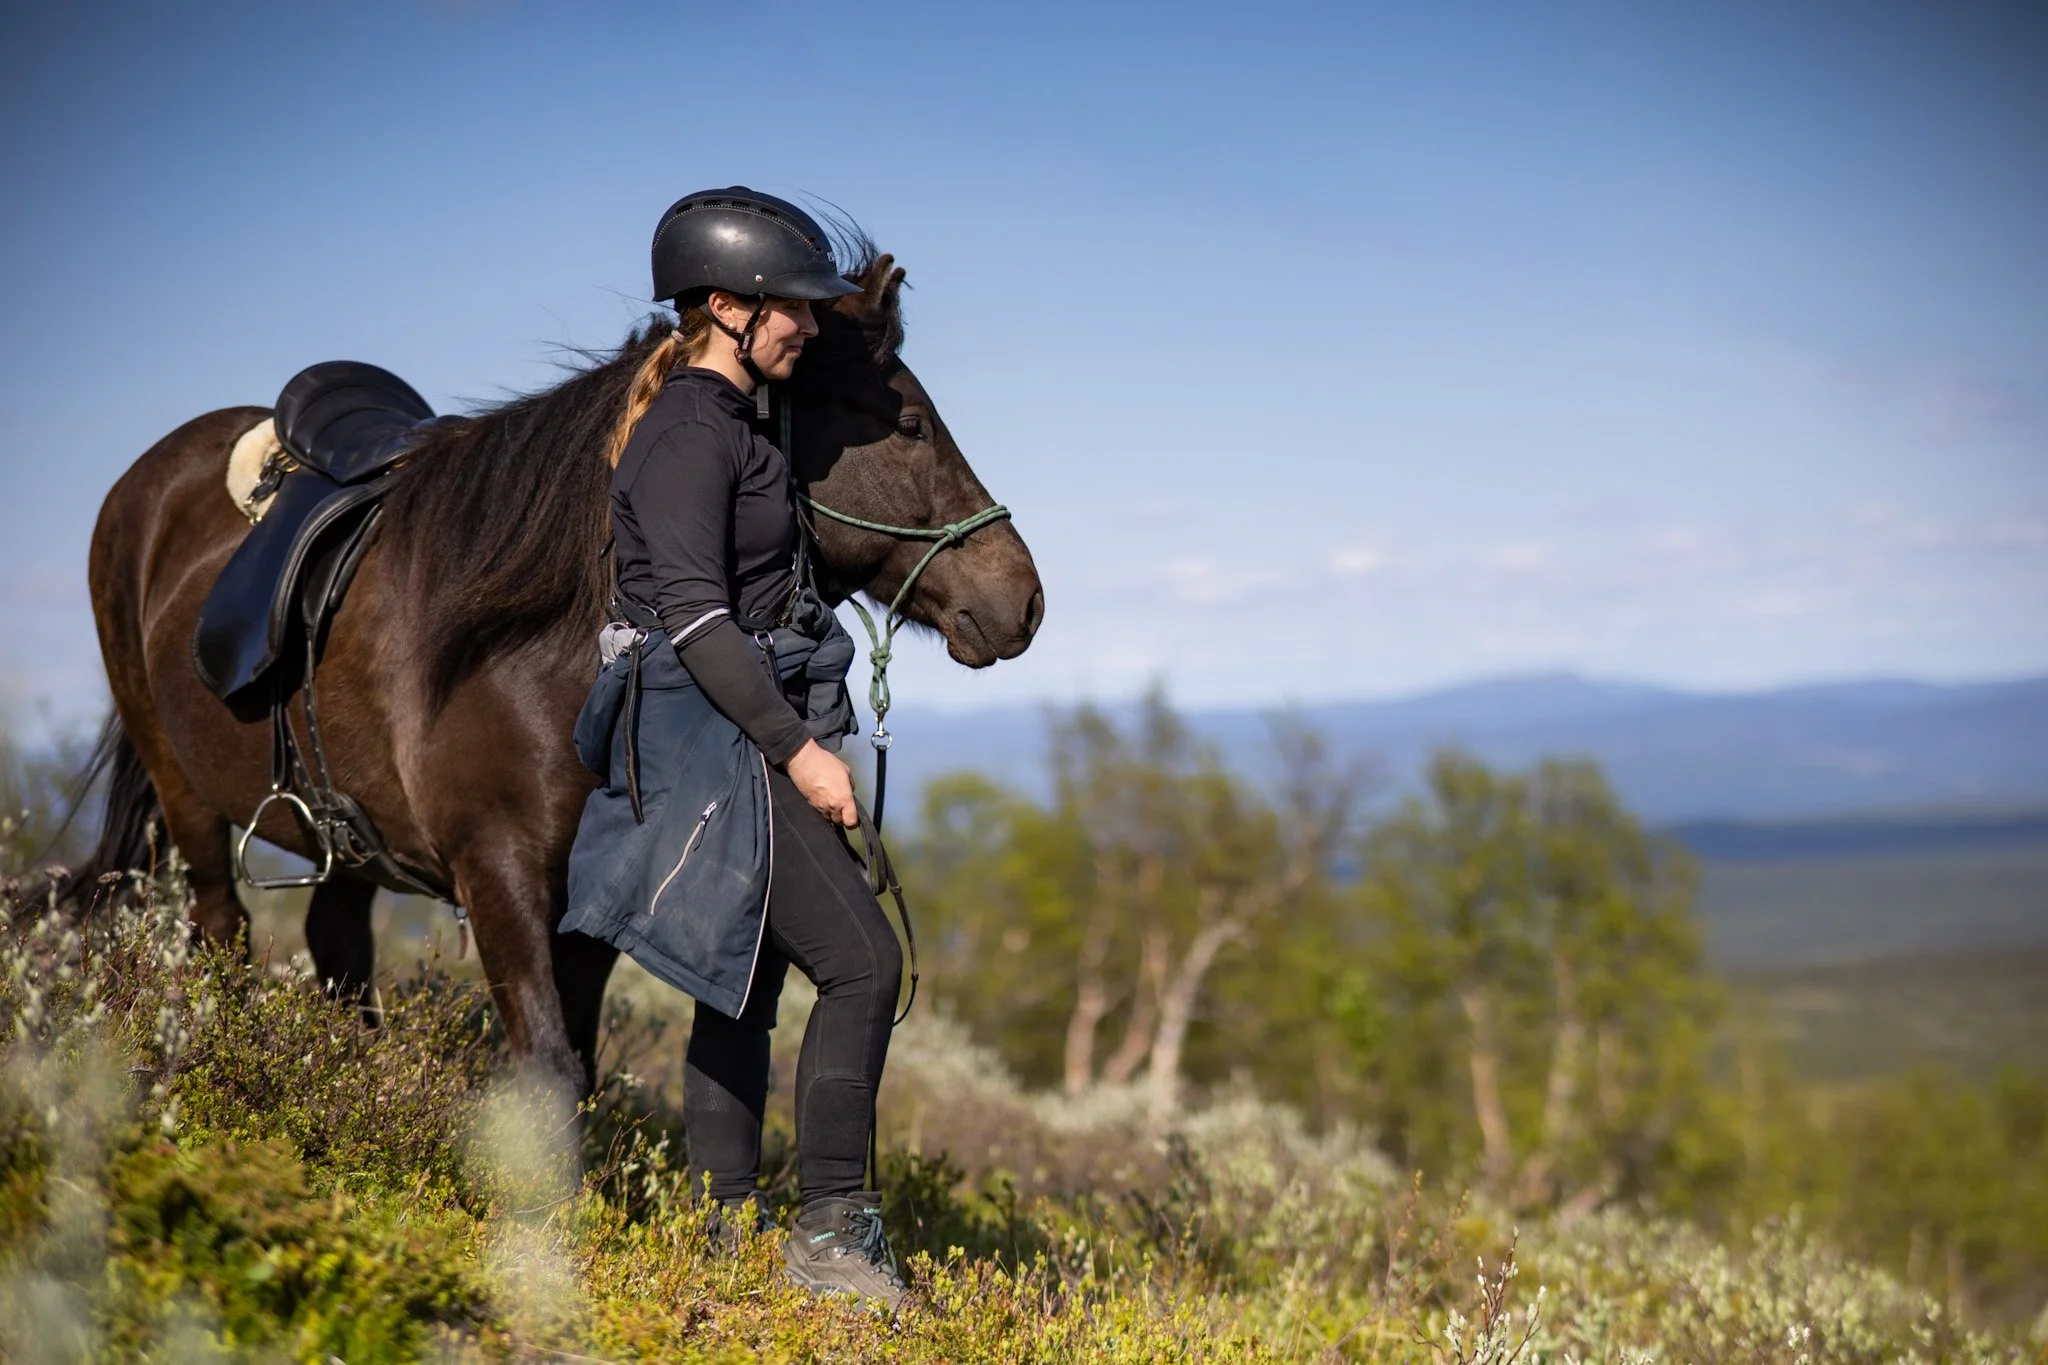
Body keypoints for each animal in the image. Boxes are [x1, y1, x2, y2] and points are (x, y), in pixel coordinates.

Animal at [67, 250, 1043, 1097]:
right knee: (221, 933)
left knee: (335, 948)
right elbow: (549, 1070)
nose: (1023, 600)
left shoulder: (592, 905)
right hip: (189, 802)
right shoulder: (498, 880)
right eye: (909, 424)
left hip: (347, 838)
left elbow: (578, 1063)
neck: (546, 652)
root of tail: (144, 487)